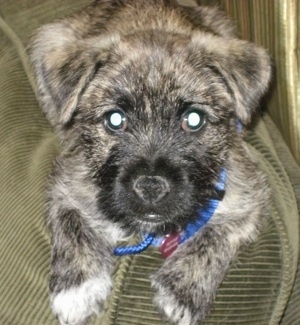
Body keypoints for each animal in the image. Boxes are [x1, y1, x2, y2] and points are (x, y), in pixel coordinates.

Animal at [28, 1, 272, 322]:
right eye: (115, 119)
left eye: (194, 119)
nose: (151, 188)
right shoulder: (66, 182)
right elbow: (71, 224)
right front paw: (77, 286)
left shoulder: (246, 192)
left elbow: (217, 234)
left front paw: (182, 290)